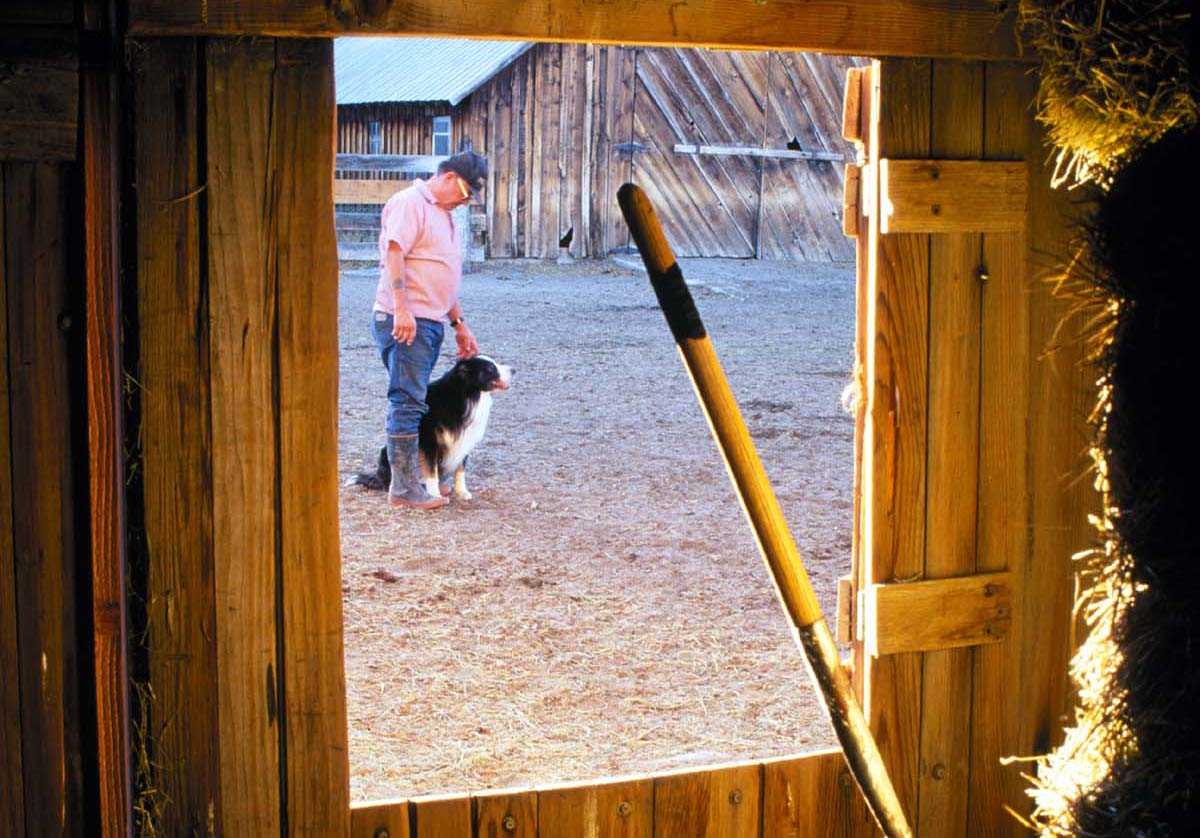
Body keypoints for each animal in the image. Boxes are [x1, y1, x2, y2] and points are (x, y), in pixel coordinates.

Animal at [350, 352, 513, 497]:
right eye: (490, 368)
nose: (514, 370)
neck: (466, 395)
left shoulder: (465, 438)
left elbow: (460, 468)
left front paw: (462, 492)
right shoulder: (429, 441)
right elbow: (431, 470)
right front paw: (434, 494)